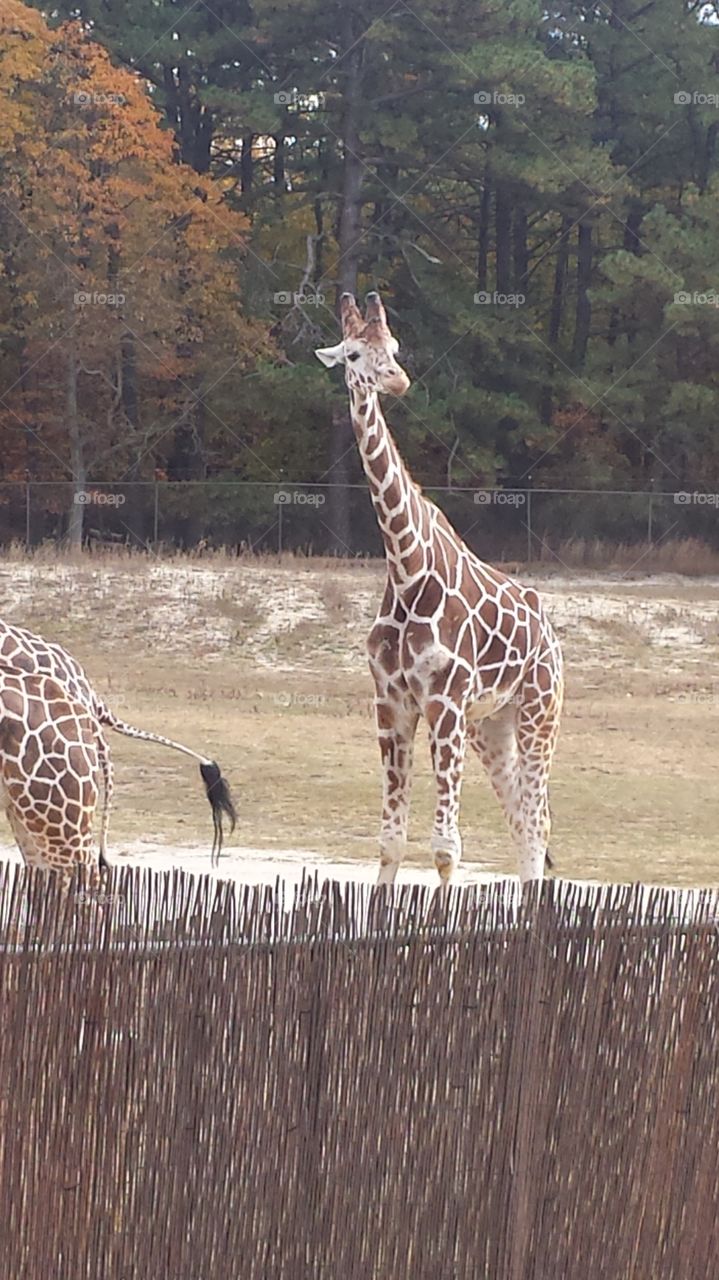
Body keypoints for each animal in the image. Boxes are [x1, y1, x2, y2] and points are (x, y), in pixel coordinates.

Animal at [315, 292, 564, 888]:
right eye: (353, 353)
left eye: (394, 346)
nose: (397, 380)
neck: (407, 569)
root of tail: (550, 631)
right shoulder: (392, 704)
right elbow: (391, 840)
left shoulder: (445, 704)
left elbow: (447, 847)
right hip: (491, 725)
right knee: (522, 818)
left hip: (539, 712)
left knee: (538, 819)